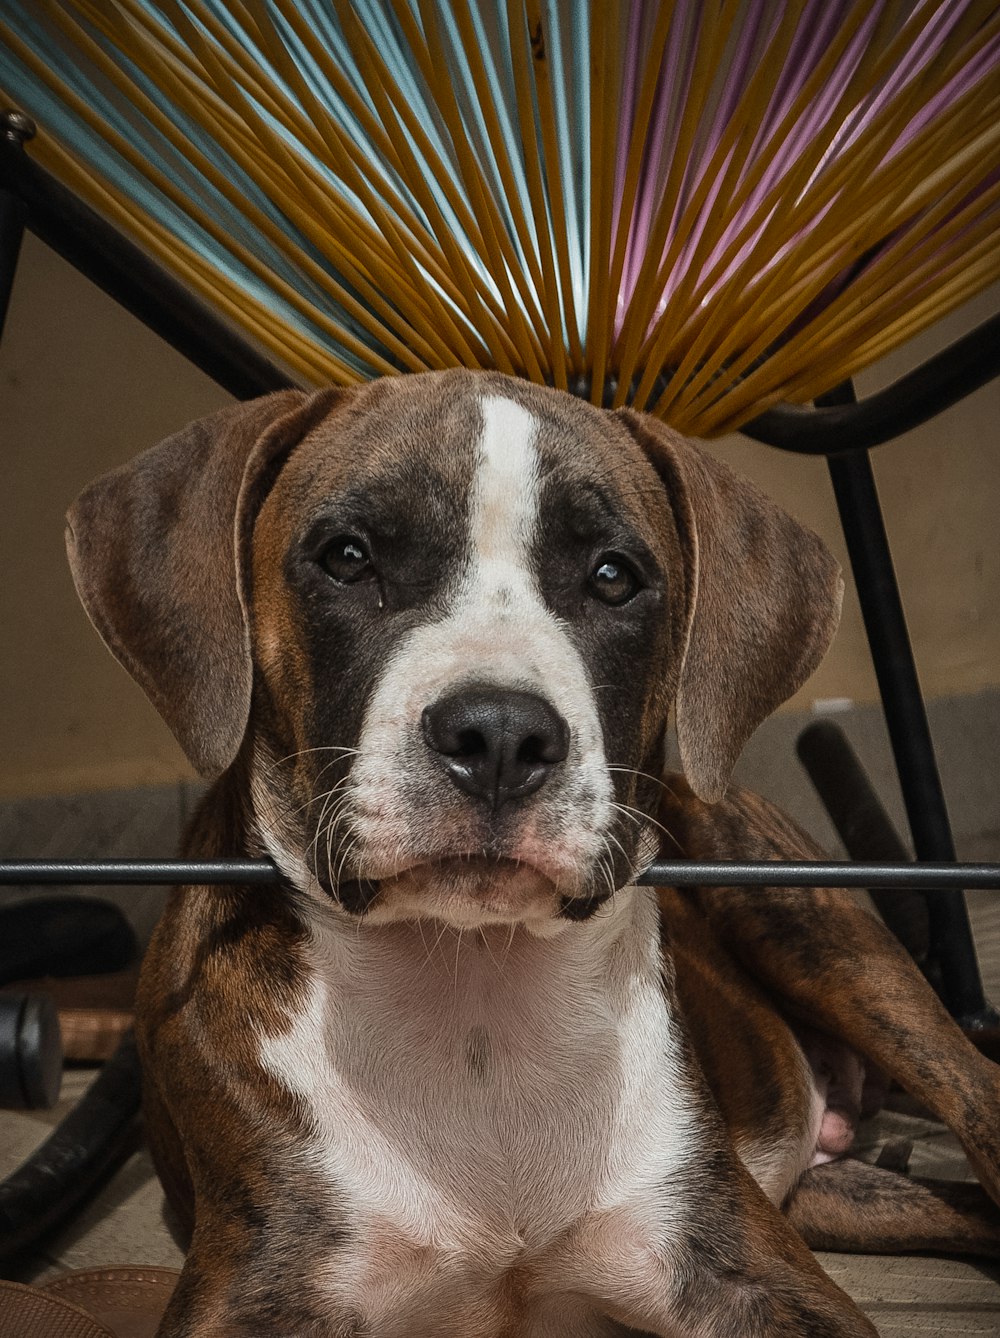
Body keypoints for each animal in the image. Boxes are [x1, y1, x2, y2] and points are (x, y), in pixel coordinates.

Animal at [68, 371, 1000, 1338]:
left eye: (614, 577)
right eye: (349, 558)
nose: (500, 735)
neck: (476, 985)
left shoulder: (748, 1270)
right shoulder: (261, 1282)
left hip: (819, 933)